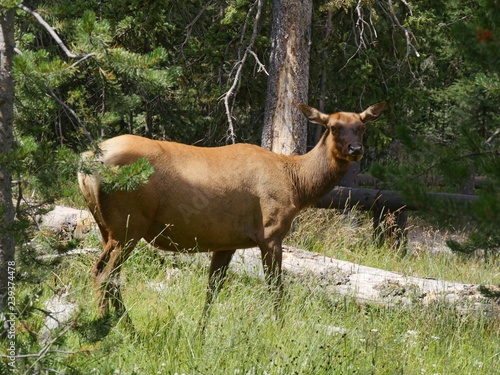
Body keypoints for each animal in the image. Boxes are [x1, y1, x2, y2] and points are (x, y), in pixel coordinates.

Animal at [77, 103, 386, 320]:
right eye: (333, 127)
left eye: (361, 126)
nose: (356, 149)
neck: (297, 185)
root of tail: (85, 162)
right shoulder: (271, 233)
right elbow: (276, 291)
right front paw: (278, 330)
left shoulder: (226, 242)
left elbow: (211, 292)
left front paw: (201, 334)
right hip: (128, 226)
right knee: (106, 276)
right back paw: (114, 326)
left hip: (107, 228)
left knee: (104, 274)